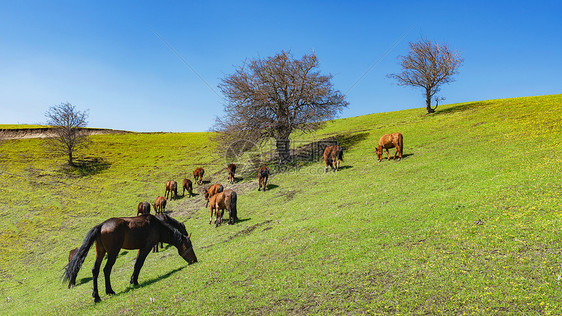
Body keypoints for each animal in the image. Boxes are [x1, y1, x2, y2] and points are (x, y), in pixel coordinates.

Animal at [63, 214, 197, 302]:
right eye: (189, 246)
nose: (194, 260)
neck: (157, 226)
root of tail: (101, 226)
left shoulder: (141, 248)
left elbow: (136, 263)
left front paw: (133, 280)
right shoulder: (147, 247)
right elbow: (139, 263)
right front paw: (135, 281)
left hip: (100, 253)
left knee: (95, 271)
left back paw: (96, 296)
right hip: (113, 253)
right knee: (106, 270)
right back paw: (109, 291)